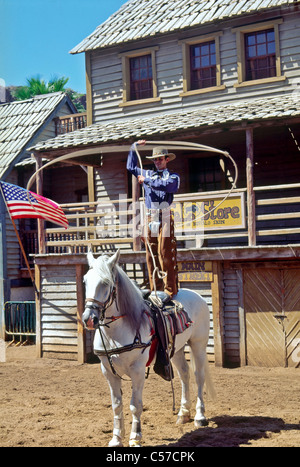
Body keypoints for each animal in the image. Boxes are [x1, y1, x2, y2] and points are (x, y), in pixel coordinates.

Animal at [82, 250, 211, 448]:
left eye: (105, 283)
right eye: (85, 281)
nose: (88, 319)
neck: (116, 333)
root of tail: (196, 295)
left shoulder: (137, 371)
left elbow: (135, 405)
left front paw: (135, 438)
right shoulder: (108, 371)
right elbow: (116, 405)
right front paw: (116, 438)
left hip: (198, 344)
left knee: (199, 376)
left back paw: (200, 416)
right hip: (176, 349)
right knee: (184, 374)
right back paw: (183, 413)